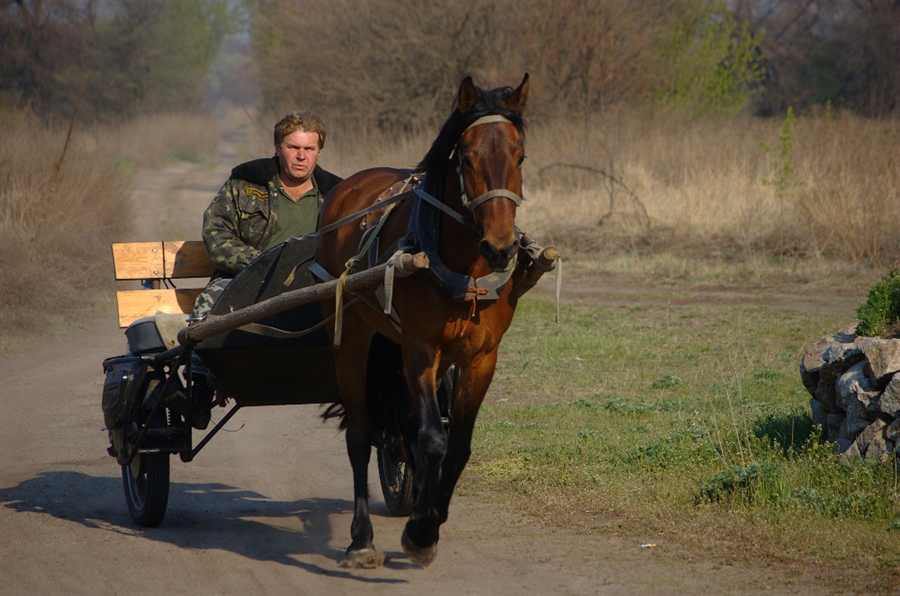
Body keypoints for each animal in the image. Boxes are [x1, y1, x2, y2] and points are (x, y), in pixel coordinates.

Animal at [316, 74, 536, 568]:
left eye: (520, 156)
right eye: (466, 156)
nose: (500, 247)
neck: (465, 267)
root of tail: (349, 185)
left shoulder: (480, 359)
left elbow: (455, 446)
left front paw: (429, 518)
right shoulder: (419, 349)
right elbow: (433, 438)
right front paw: (420, 531)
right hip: (352, 336)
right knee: (360, 433)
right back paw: (361, 538)